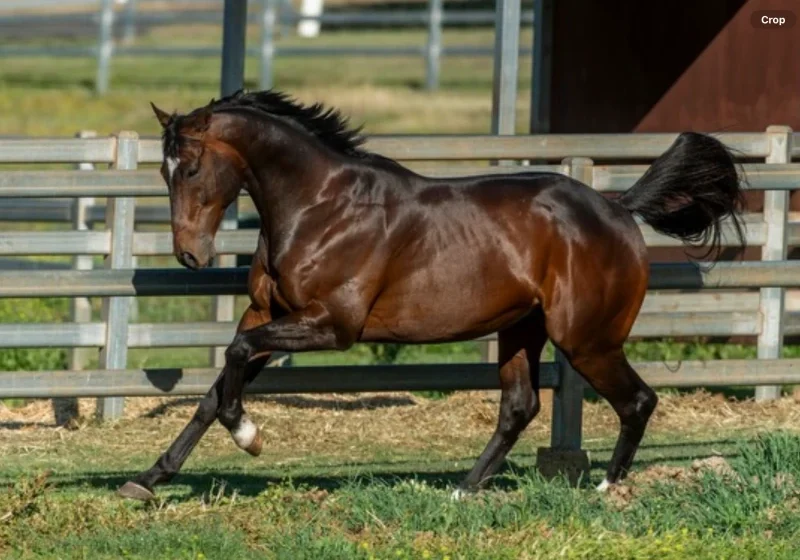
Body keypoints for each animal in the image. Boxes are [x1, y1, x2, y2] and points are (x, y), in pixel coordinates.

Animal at [118, 89, 745, 501]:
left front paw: (250, 437)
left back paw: (606, 488)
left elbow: (235, 357)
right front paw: (147, 481)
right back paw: (464, 490)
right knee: (519, 407)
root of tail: (618, 209)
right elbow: (216, 384)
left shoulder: (331, 324)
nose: (189, 256)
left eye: (191, 168)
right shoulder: (270, 313)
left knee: (636, 401)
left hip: (585, 339)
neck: (319, 206)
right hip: (522, 329)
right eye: (163, 172)